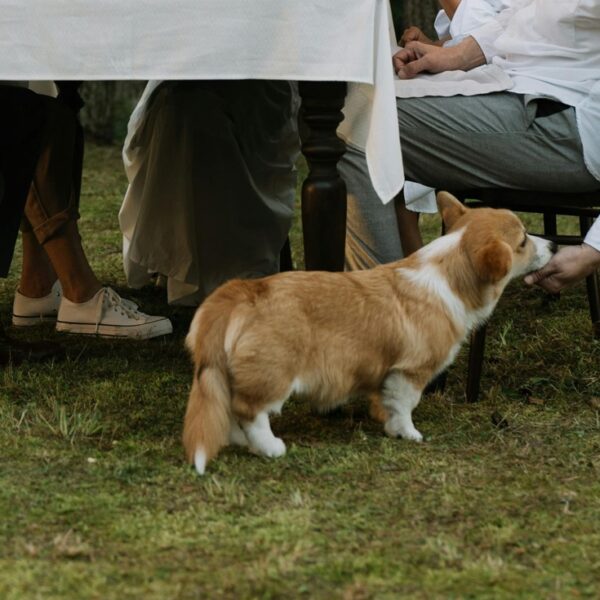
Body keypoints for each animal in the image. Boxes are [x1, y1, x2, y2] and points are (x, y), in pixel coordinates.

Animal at [184, 192, 556, 474]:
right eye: (523, 240)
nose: (553, 244)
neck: (449, 273)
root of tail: (245, 291)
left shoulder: (388, 372)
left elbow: (387, 402)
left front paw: (389, 426)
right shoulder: (411, 371)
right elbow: (405, 406)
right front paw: (409, 434)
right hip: (274, 372)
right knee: (249, 410)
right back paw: (270, 446)